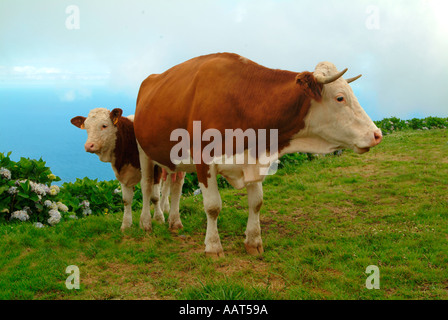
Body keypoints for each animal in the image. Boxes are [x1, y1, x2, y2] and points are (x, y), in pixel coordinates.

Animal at [133, 52, 382, 258]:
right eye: (340, 98)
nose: (377, 134)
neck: (242, 99)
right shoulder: (204, 160)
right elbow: (213, 206)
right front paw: (213, 247)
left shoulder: (254, 157)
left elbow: (256, 203)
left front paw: (253, 242)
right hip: (143, 151)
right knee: (146, 186)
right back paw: (146, 224)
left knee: (176, 187)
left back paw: (175, 223)